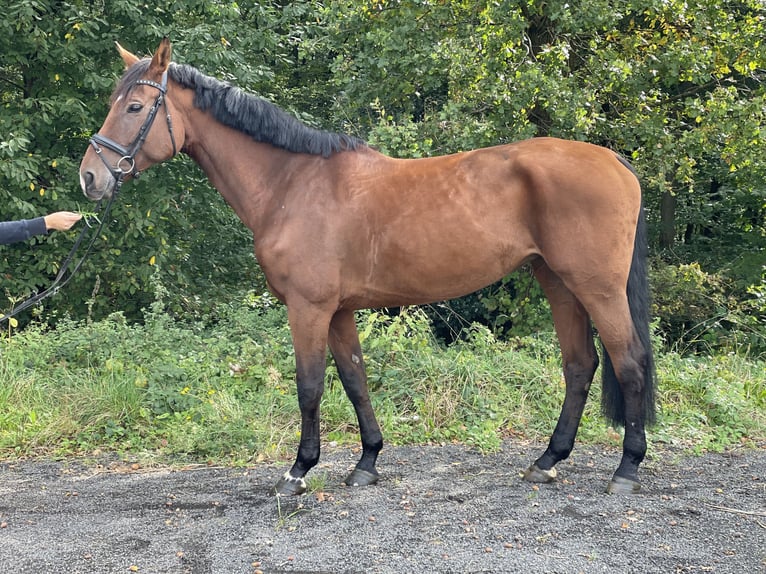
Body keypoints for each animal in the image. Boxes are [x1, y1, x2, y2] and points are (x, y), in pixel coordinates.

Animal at [78, 40, 656, 498]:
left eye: (134, 106)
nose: (89, 178)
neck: (292, 183)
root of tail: (615, 161)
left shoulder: (308, 309)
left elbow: (310, 385)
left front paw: (298, 472)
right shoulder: (338, 311)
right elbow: (355, 379)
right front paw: (367, 462)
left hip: (597, 288)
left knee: (628, 363)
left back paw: (626, 469)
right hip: (558, 283)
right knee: (580, 365)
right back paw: (547, 461)